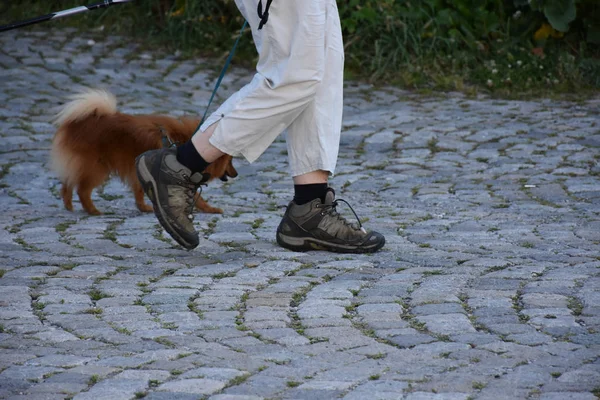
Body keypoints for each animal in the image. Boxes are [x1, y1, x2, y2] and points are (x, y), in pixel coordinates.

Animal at [49, 88, 237, 216]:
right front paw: (210, 208)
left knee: (68, 183)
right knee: (82, 190)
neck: (185, 144)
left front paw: (144, 207)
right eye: (230, 161)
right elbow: (197, 197)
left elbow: (139, 192)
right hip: (97, 168)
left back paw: (68, 205)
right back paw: (92, 210)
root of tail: (79, 122)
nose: (236, 173)